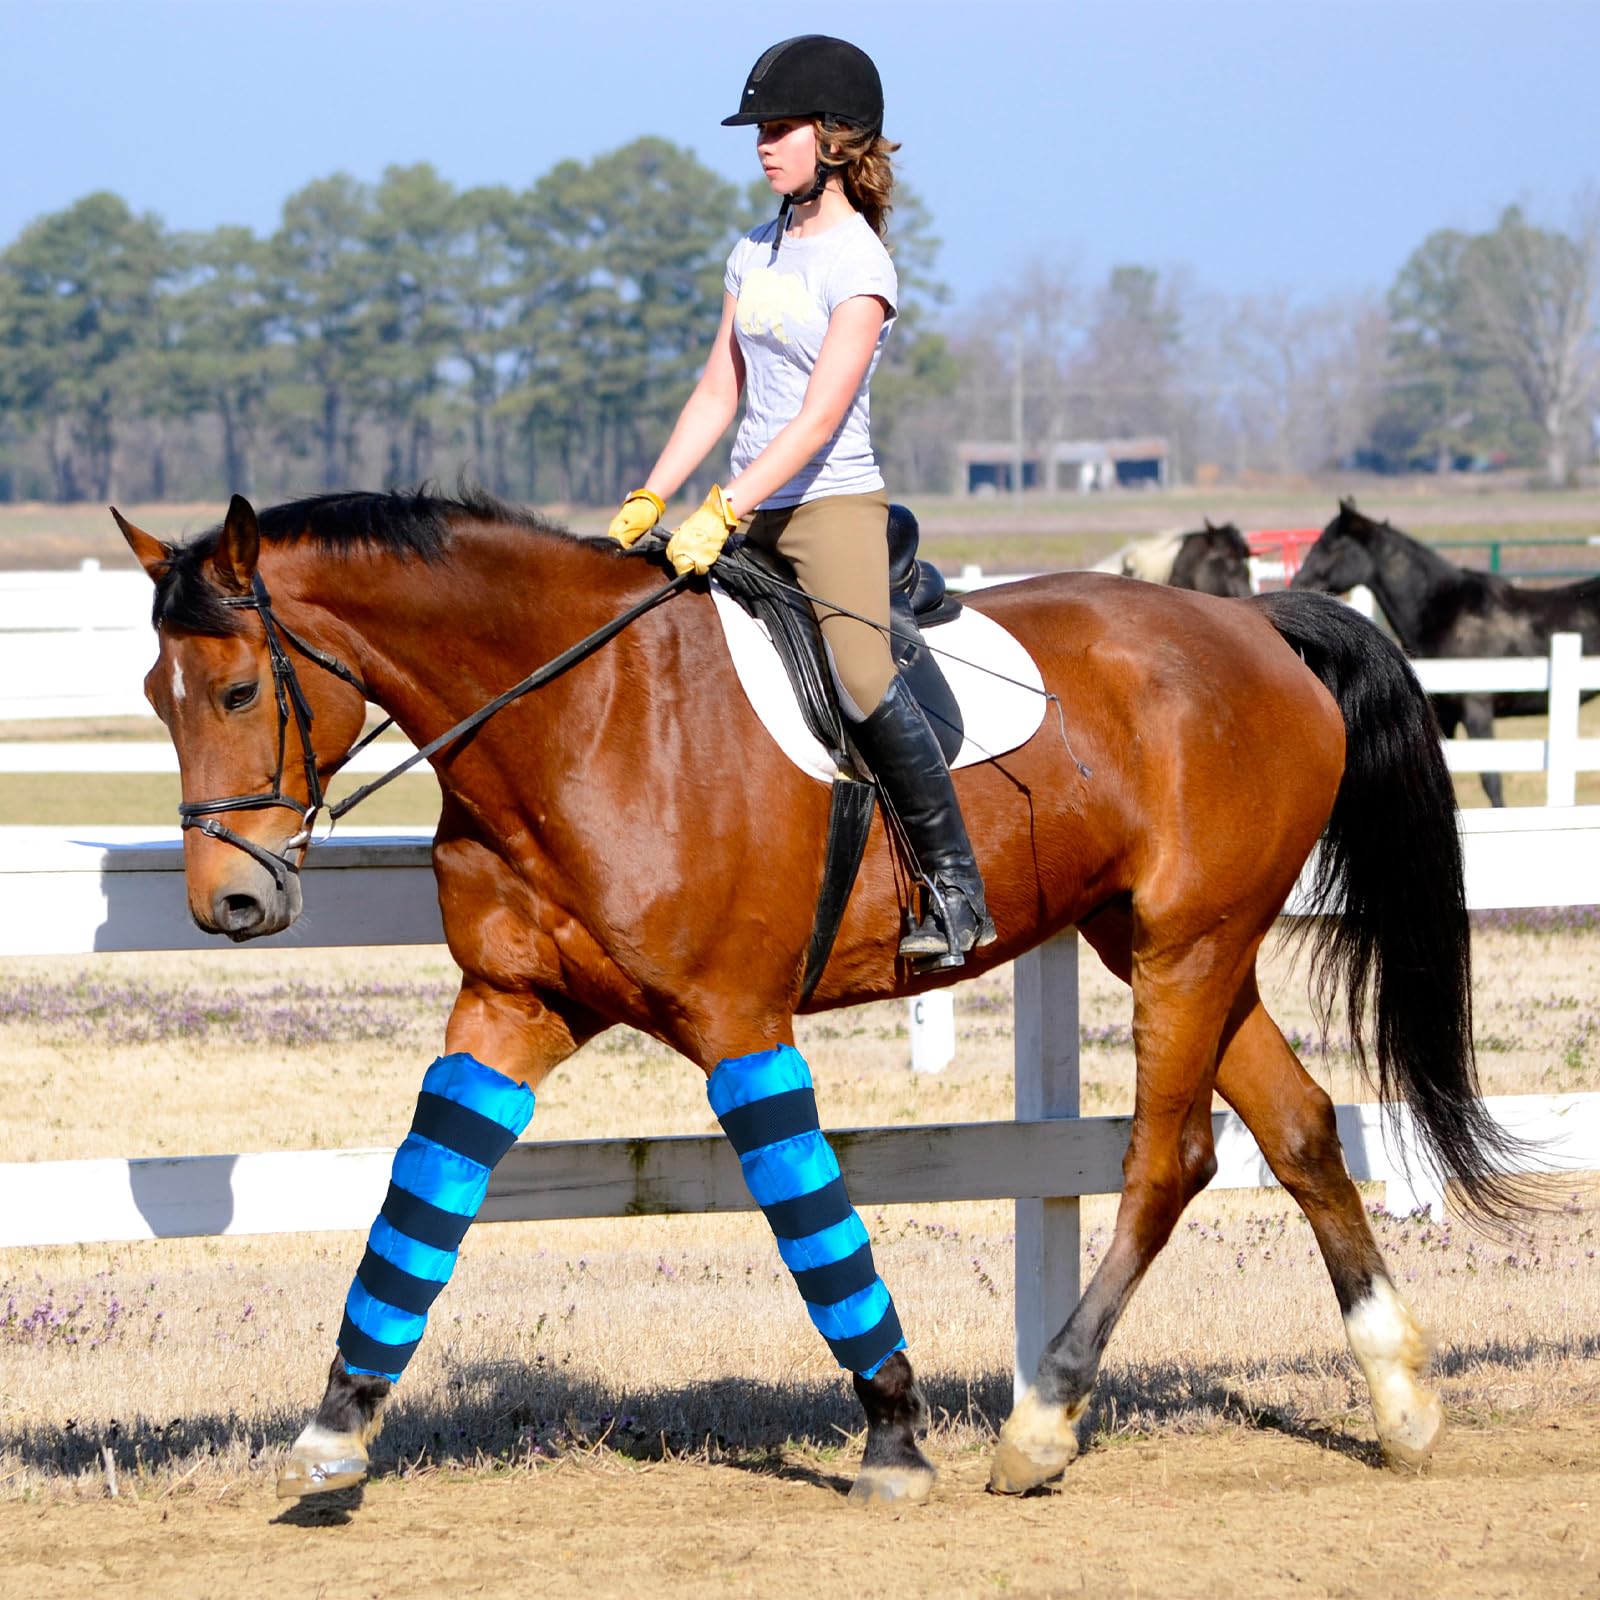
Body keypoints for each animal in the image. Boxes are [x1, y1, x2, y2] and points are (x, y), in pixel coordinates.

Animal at [114, 488, 1520, 1506]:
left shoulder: (737, 1022)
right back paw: (1401, 1403)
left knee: (1167, 1157)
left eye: (238, 689)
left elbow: (808, 1217)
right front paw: (336, 1423)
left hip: (1189, 944)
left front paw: (894, 1433)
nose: (228, 904)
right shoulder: (508, 1007)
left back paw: (1044, 1420)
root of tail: (1255, 627)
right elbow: (422, 1190)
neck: (579, 713)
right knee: (1299, 1128)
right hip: (1159, 942)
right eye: (152, 696)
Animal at [1291, 500, 1600, 806]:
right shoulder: (1446, 715)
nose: (1297, 583)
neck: (1444, 611)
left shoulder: (1477, 709)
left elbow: (1491, 780)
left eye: (1332, 545)